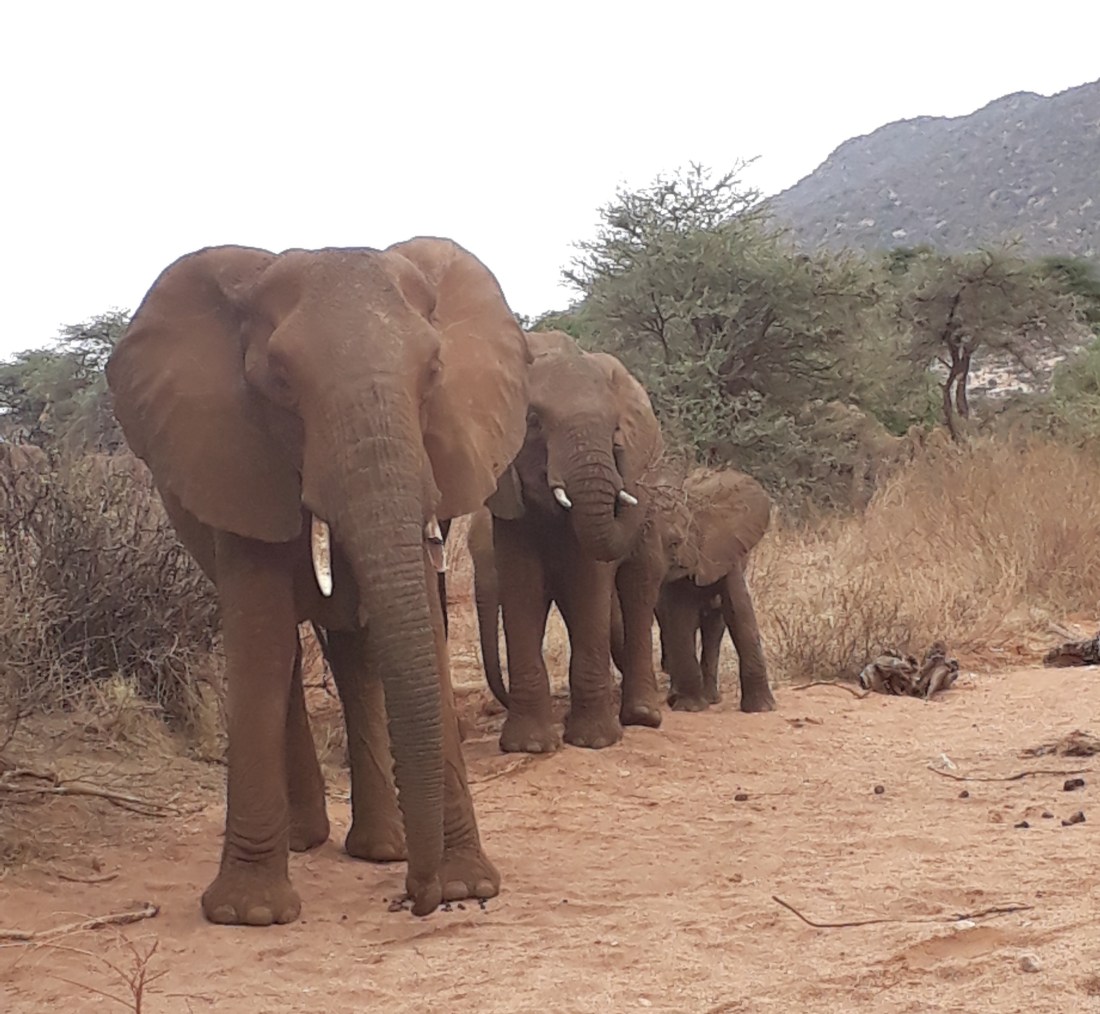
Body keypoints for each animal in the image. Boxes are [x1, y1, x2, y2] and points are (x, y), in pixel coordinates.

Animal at [106, 237, 530, 924]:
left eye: (435, 371)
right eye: (279, 381)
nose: (416, 897)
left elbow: (421, 629)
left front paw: (468, 887)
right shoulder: (239, 462)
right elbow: (262, 639)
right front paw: (248, 914)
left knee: (356, 651)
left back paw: (381, 848)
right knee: (287, 655)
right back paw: (308, 841)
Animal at [483, 330, 665, 753]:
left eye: (616, 427)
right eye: (533, 422)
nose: (622, 453)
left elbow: (589, 584)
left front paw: (594, 742)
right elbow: (522, 588)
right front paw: (530, 747)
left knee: (639, 585)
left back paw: (643, 716)